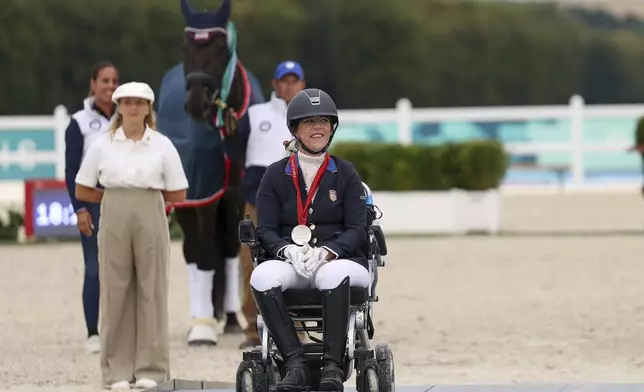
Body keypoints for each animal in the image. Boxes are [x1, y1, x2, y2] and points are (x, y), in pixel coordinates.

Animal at [156, 0, 264, 344]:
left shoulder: (235, 196)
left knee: (225, 250)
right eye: (184, 46)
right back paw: (201, 319)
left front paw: (233, 320)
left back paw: (227, 318)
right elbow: (203, 254)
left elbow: (233, 250)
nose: (196, 104)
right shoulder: (203, 195)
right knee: (194, 251)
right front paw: (202, 329)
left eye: (221, 48)